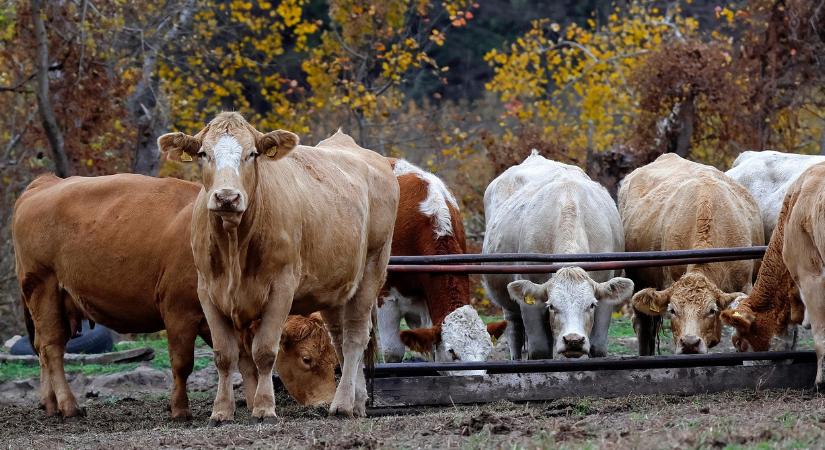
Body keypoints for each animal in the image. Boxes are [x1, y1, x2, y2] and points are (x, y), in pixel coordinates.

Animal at [11, 173, 336, 418]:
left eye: (334, 361)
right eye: (306, 359)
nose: (324, 403)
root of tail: (45, 182)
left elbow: (245, 361)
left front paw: (253, 400)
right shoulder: (179, 312)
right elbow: (183, 363)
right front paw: (180, 409)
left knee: (42, 348)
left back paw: (49, 404)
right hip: (43, 289)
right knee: (52, 349)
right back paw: (69, 406)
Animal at [159, 112, 400, 422]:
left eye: (252, 154)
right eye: (203, 153)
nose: (227, 197)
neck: (234, 245)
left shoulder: (281, 289)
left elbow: (263, 352)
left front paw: (264, 407)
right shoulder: (208, 291)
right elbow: (224, 355)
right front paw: (222, 410)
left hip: (373, 267)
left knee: (355, 337)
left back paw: (343, 404)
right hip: (335, 288)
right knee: (339, 338)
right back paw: (357, 402)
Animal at [480, 153, 636, 360]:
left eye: (591, 305)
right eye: (552, 306)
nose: (573, 340)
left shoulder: (604, 296)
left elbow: (598, 347)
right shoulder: (531, 301)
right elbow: (539, 350)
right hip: (509, 304)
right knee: (514, 331)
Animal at [616, 154, 768, 356]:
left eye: (711, 310)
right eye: (672, 310)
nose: (689, 342)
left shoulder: (744, 285)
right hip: (639, 282)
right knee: (644, 328)